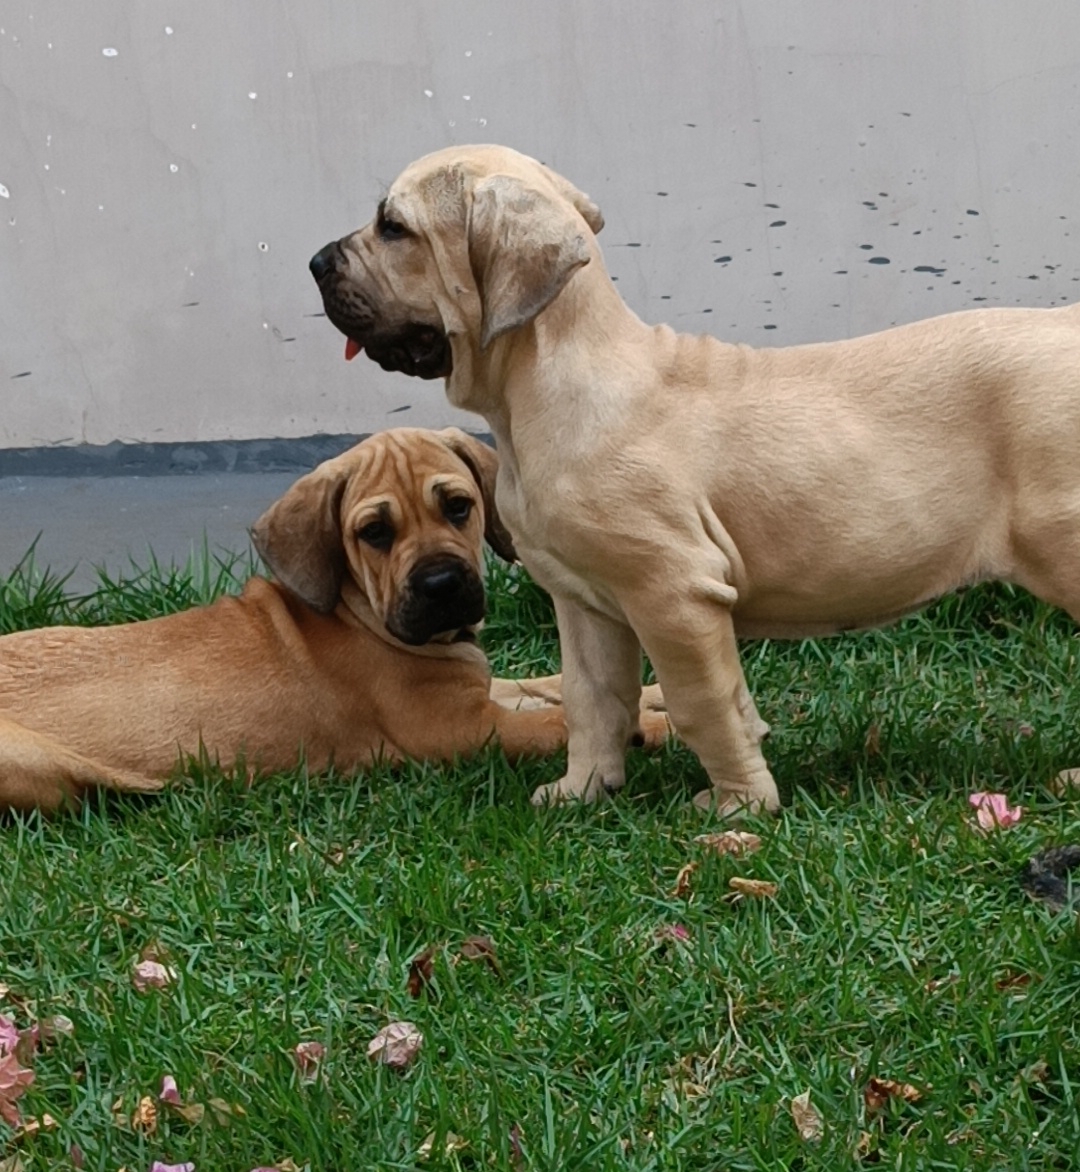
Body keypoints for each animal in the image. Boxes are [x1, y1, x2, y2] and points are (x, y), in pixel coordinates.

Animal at [0, 424, 665, 815]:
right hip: (40, 764)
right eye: (374, 532)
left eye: (459, 506)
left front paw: (652, 695)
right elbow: (556, 721)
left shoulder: (477, 691)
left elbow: (545, 685)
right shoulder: (466, 727)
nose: (443, 585)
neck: (359, 613)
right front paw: (652, 728)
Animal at [309, 141, 1080, 811]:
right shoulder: (583, 602)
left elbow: (701, 702)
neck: (543, 383)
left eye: (393, 227)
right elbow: (592, 700)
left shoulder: (672, 592)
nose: (315, 262)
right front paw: (583, 792)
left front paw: (741, 805)